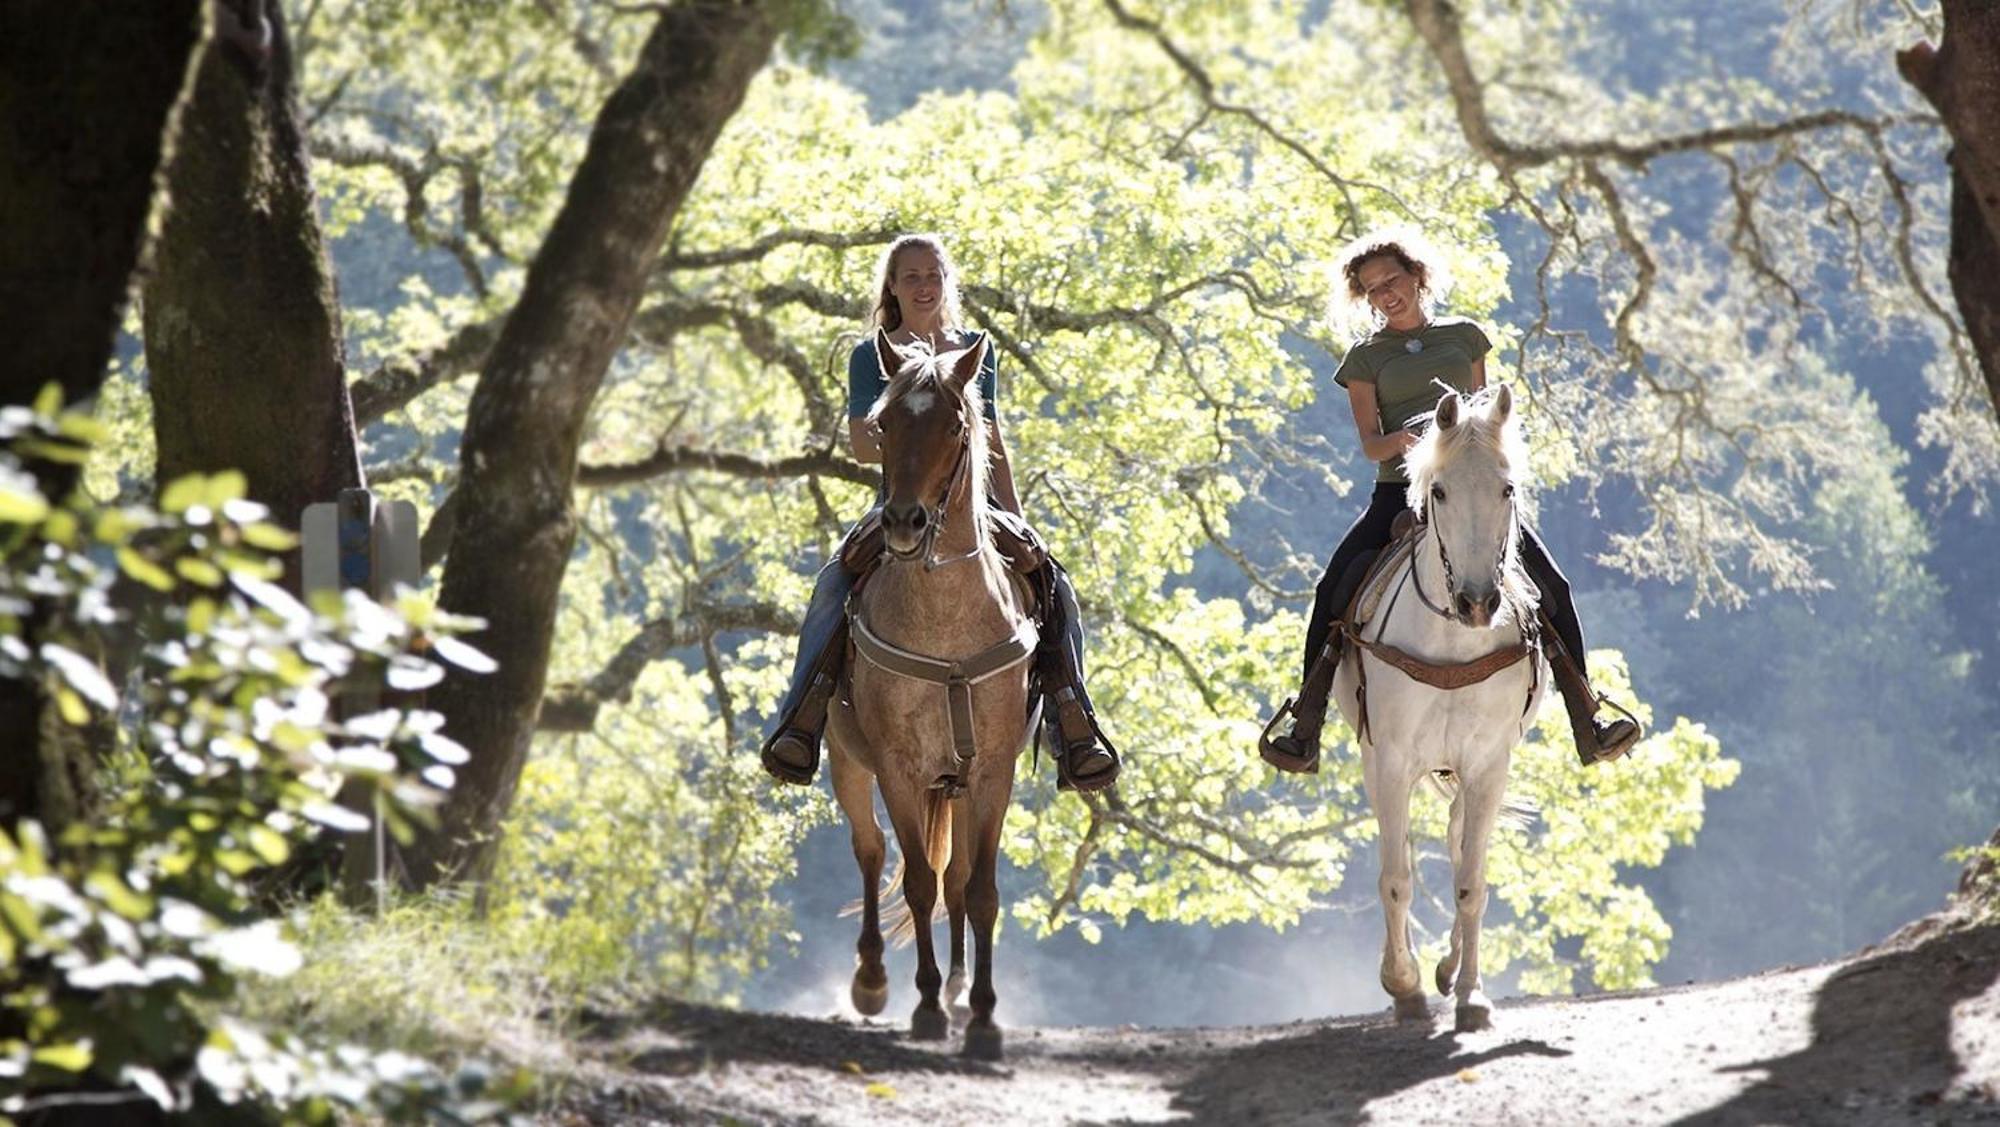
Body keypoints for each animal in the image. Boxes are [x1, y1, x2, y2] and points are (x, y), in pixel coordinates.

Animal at [828, 329, 1048, 1063]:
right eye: (883, 424)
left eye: (956, 426)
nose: (903, 521)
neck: (946, 623)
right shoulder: (898, 767)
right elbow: (917, 881)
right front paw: (923, 1007)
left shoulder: (993, 771)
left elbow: (977, 891)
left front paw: (980, 1015)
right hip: (848, 762)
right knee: (871, 853)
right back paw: (873, 979)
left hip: (950, 786)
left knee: (953, 879)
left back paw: (954, 991)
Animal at [1336, 385, 1552, 1031]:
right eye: (1439, 491)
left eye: (1507, 488)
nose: (1478, 602)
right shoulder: (1388, 761)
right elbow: (1396, 879)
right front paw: (1402, 985)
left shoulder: (1487, 765)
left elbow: (1470, 882)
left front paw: (1471, 996)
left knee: (1458, 844)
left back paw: (1451, 969)